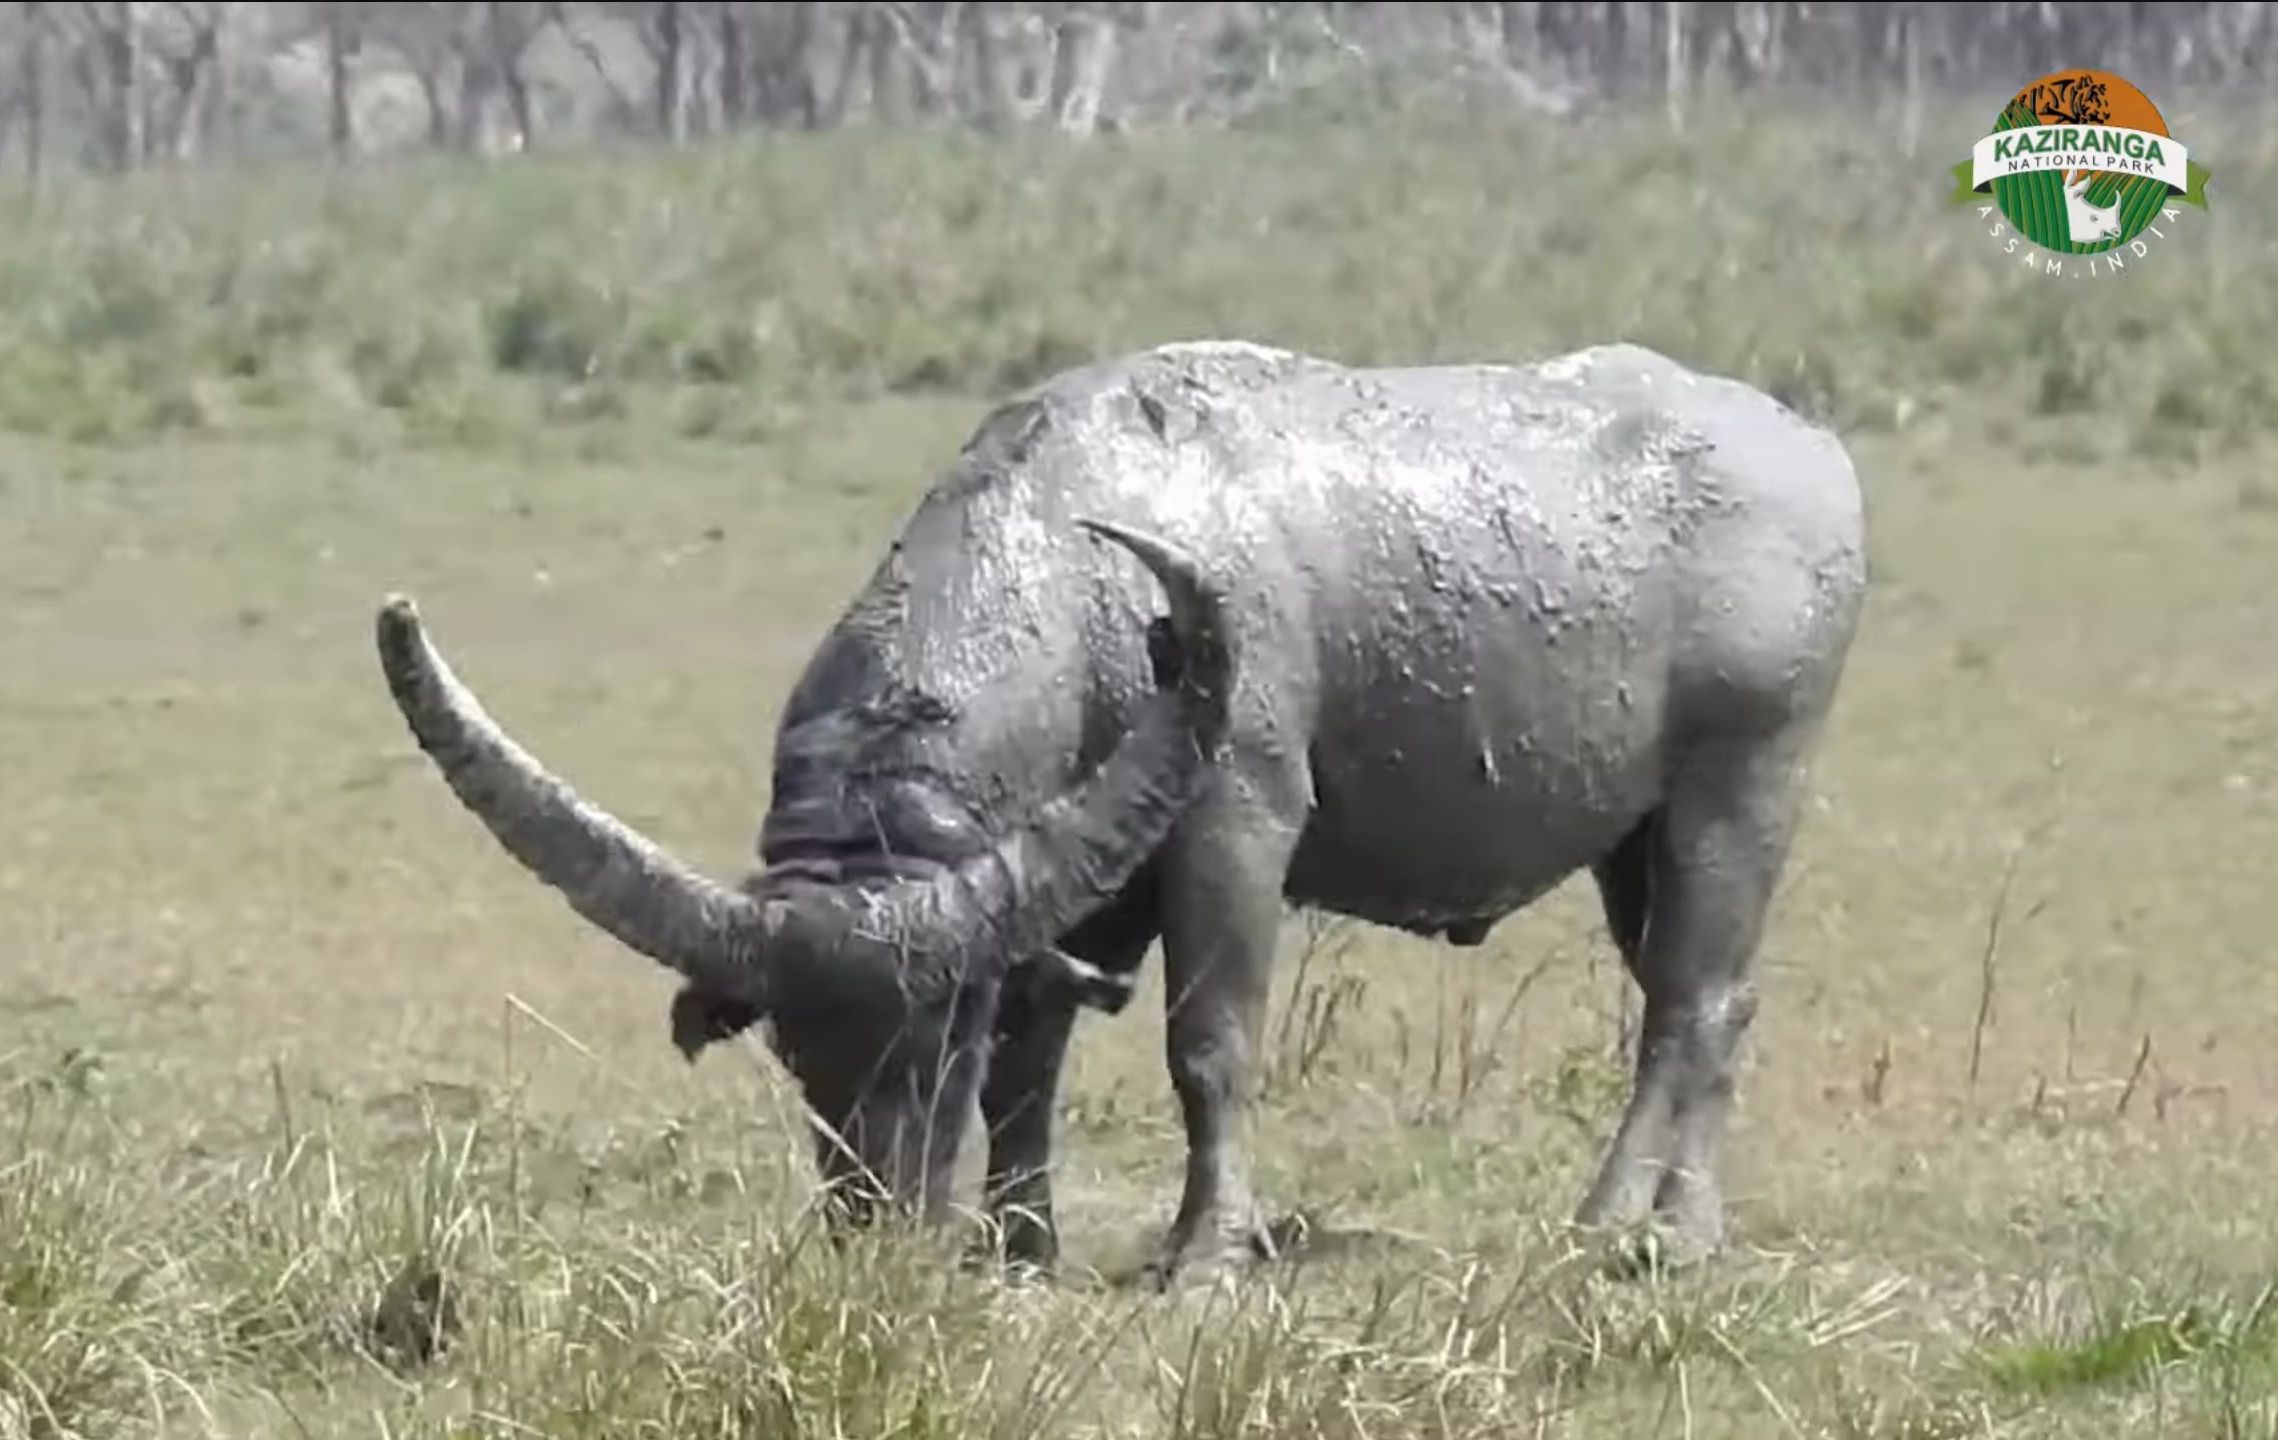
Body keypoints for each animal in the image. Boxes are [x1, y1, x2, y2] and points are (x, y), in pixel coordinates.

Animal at [378, 339, 1867, 1285]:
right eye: (799, 1053)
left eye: (937, 1037)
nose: (882, 1236)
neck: (1088, 582)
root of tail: (1813, 452)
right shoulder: (1075, 883)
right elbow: (1040, 1061)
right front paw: (1018, 1242)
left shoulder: (1232, 832)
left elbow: (1204, 1047)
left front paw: (1203, 1253)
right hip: (1635, 842)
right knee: (1707, 1002)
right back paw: (1671, 1223)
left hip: (1743, 788)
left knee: (1689, 1009)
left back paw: (1626, 1226)